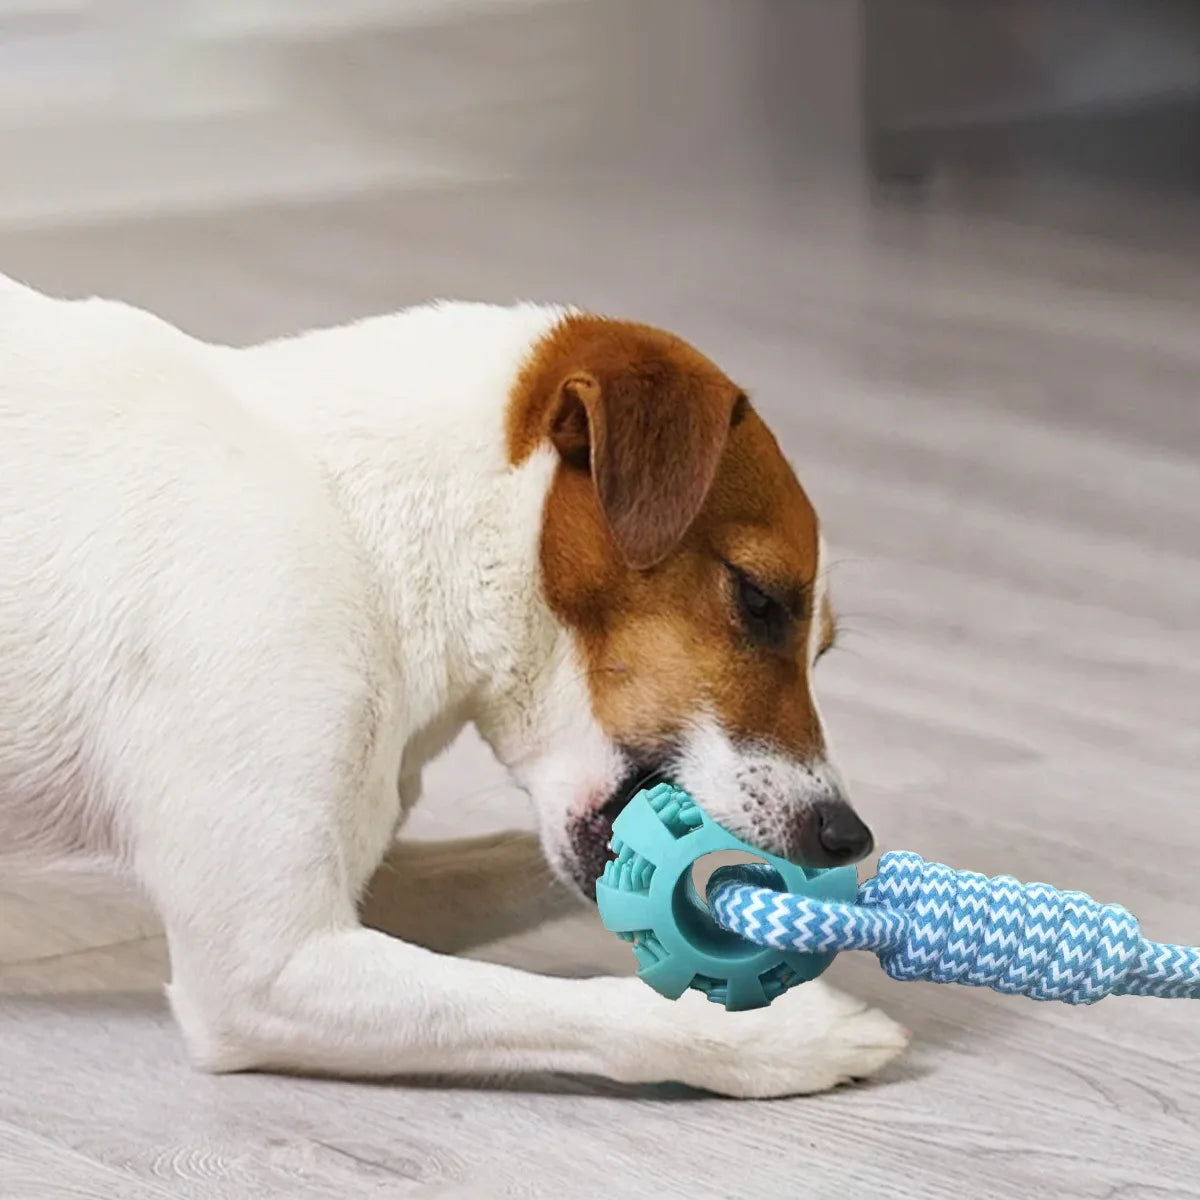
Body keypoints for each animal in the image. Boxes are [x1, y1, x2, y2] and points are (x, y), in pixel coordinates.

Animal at [0, 278, 902, 1099]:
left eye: (822, 648)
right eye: (757, 598)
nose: (846, 836)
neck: (363, 527)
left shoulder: (373, 886)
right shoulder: (268, 970)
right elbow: (576, 1008)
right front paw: (784, 1036)